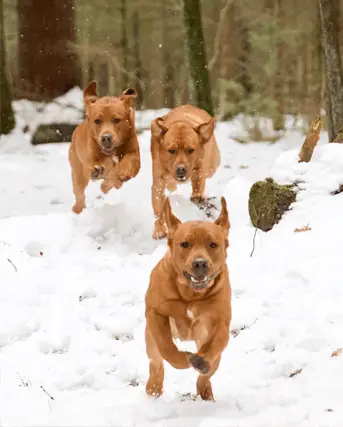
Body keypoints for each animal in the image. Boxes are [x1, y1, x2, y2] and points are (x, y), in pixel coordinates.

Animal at [68, 81, 141, 214]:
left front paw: (120, 172)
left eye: (117, 119)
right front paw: (104, 171)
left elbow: (128, 163)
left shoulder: (134, 154)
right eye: (97, 121)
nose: (106, 137)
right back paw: (78, 209)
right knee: (79, 195)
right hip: (77, 173)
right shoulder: (90, 160)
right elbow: (106, 167)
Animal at [145, 196, 231, 402]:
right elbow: (166, 347)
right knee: (156, 363)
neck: (190, 295)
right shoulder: (155, 312)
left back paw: (205, 392)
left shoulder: (221, 322)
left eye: (213, 244)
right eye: (185, 244)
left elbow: (214, 345)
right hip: (149, 342)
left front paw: (200, 361)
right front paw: (184, 359)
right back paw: (153, 389)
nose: (200, 263)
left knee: (206, 375)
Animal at [152, 103, 222, 237]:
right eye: (171, 150)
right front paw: (159, 229)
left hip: (213, 165)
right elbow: (158, 205)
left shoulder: (199, 167)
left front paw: (197, 196)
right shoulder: (158, 181)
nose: (181, 170)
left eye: (190, 150)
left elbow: (198, 181)